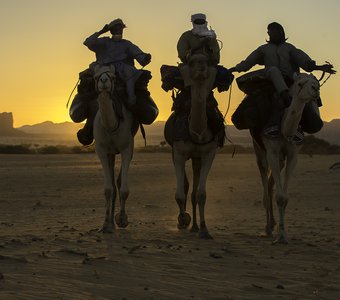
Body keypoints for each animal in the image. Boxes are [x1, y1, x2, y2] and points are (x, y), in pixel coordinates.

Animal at [173, 52, 220, 238]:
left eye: (206, 61)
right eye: (192, 62)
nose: (201, 68)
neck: (197, 133)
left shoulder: (209, 153)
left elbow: (201, 194)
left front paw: (205, 230)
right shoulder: (178, 153)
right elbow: (180, 194)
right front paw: (183, 219)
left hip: (197, 158)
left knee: (194, 191)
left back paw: (196, 227)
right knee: (186, 188)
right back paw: (188, 223)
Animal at [254, 72, 320, 244]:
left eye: (316, 82)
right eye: (300, 83)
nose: (315, 89)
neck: (285, 129)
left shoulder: (292, 155)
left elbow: (285, 197)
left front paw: (282, 234)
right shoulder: (272, 151)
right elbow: (280, 196)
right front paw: (280, 237)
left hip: (281, 160)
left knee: (270, 185)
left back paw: (272, 225)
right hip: (259, 149)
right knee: (265, 183)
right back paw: (267, 227)